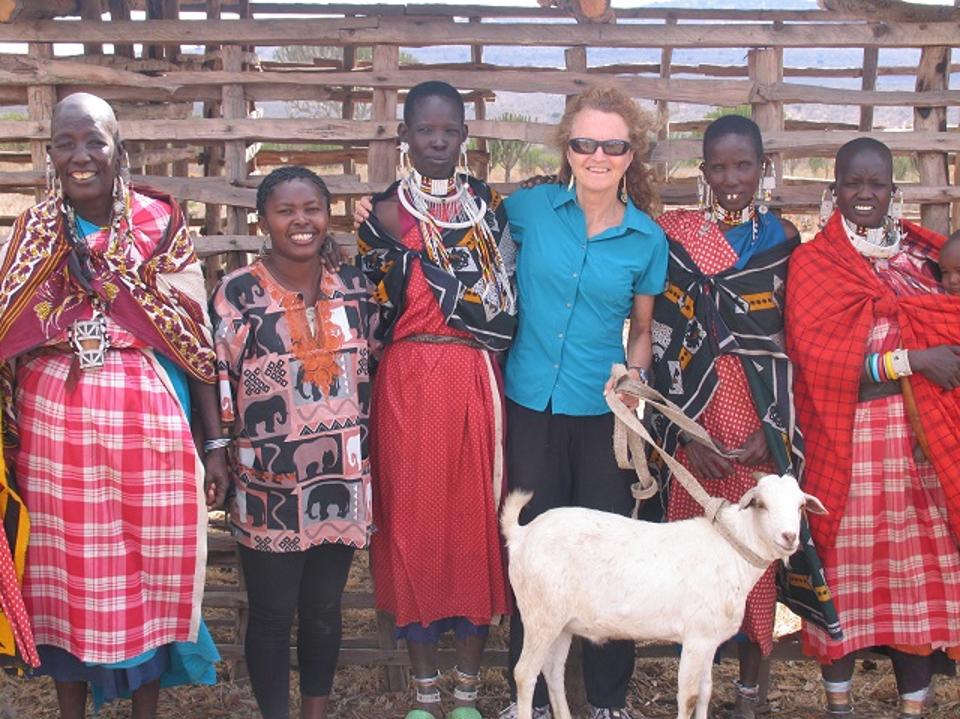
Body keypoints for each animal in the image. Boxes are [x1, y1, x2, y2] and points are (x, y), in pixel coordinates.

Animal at [502, 472, 824, 719]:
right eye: (761, 504)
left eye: (800, 506)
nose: (789, 537)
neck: (731, 550)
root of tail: (521, 534)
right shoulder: (696, 638)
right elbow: (690, 696)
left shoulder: (709, 640)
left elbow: (706, 691)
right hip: (539, 615)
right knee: (525, 673)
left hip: (562, 623)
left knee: (552, 671)